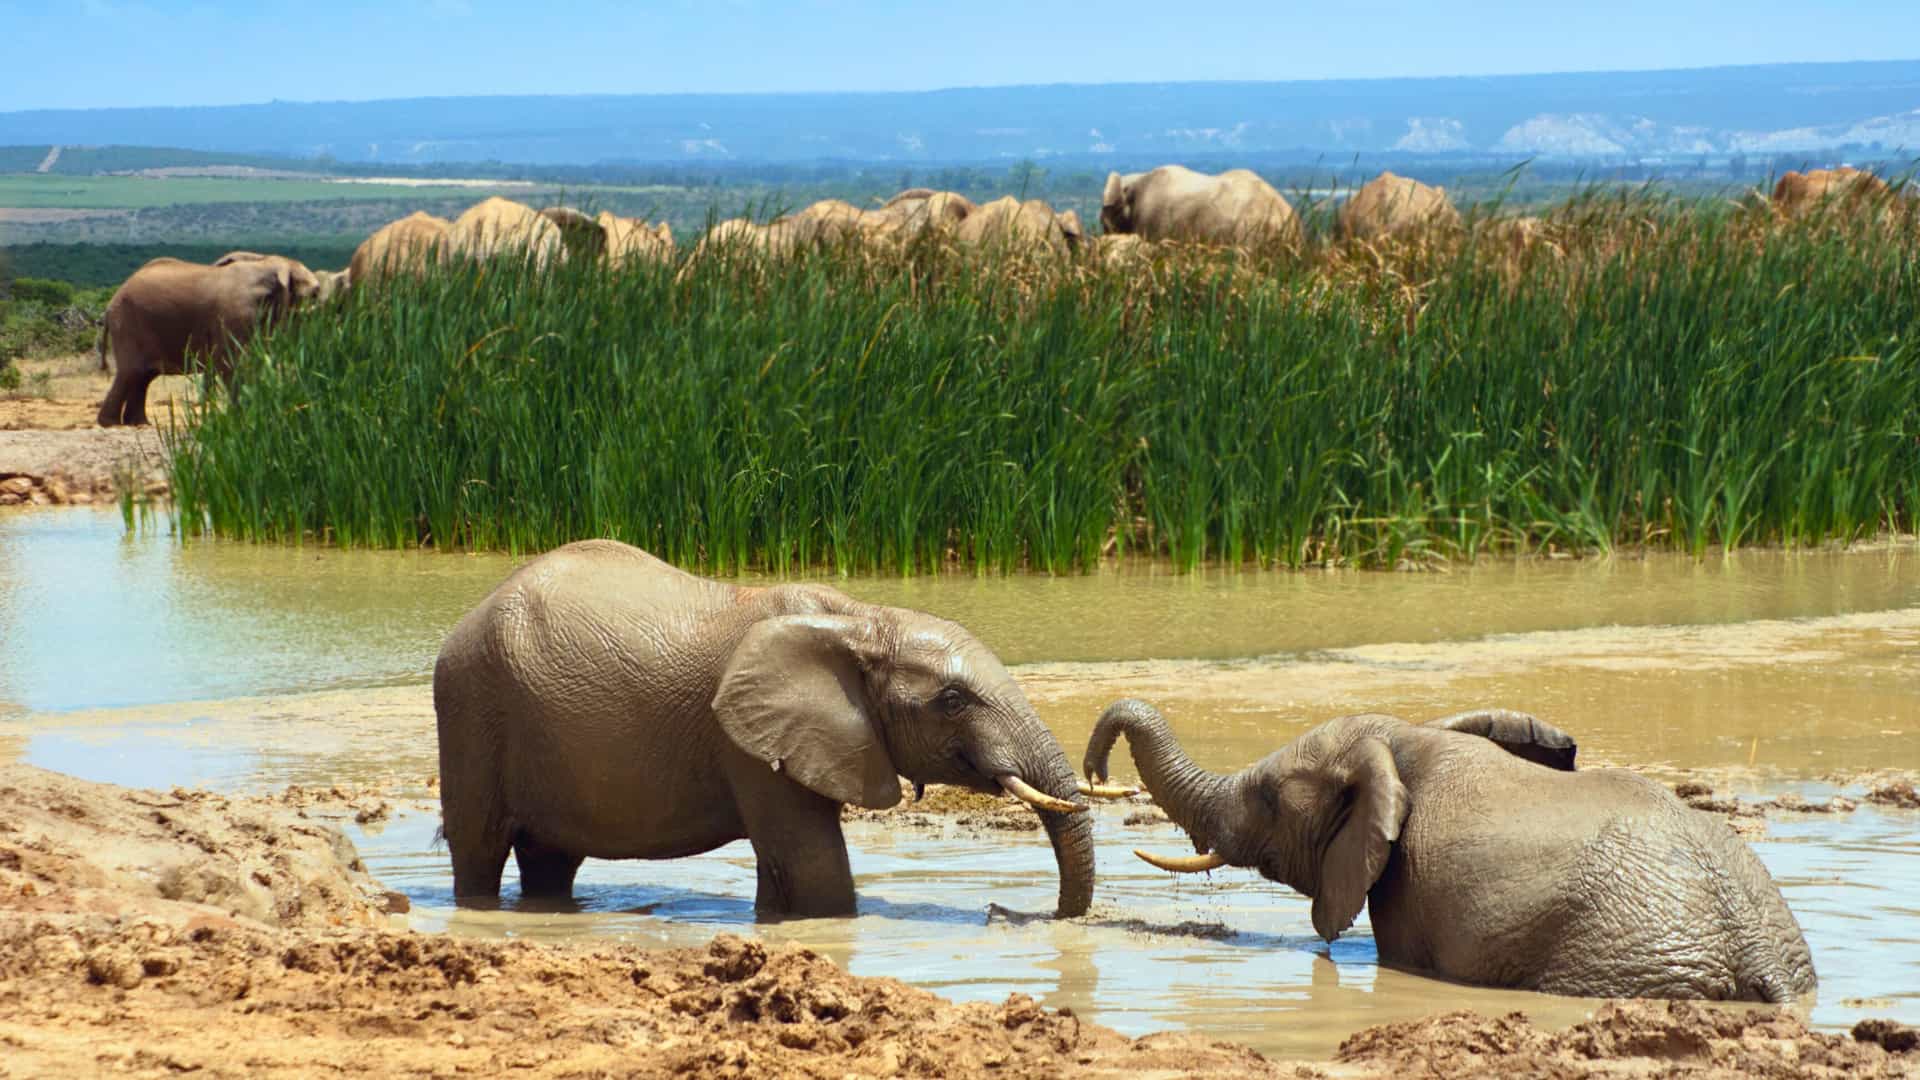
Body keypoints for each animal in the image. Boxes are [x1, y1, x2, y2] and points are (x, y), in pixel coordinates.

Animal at [94, 254, 325, 427]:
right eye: (315, 293)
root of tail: (110, 304)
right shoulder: (236, 315)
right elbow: (232, 364)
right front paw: (243, 416)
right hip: (128, 324)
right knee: (132, 372)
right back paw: (111, 423)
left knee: (143, 377)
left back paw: (138, 423)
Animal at [433, 540, 1109, 918]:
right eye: (951, 700)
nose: (1003, 911)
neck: (860, 619)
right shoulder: (747, 739)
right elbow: (812, 864)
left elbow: (782, 865)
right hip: (471, 707)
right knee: (480, 850)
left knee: (551, 859)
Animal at [1084, 699, 1815, 1003]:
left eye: (1267, 797)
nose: (1093, 771)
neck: (1407, 736)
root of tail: (1757, 954)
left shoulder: (1406, 889)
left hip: (1612, 962)